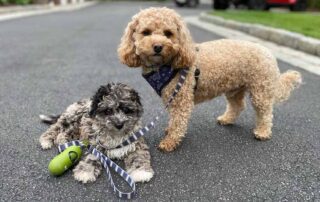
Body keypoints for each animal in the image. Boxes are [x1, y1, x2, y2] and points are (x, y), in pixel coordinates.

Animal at [117, 7, 300, 152]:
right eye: (146, 32)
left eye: (168, 34)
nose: (158, 47)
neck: (166, 66)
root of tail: (268, 52)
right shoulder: (172, 97)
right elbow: (173, 119)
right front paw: (169, 131)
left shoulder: (181, 98)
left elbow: (178, 122)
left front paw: (170, 142)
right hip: (235, 88)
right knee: (238, 105)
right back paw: (227, 119)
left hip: (261, 89)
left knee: (265, 113)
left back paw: (262, 132)